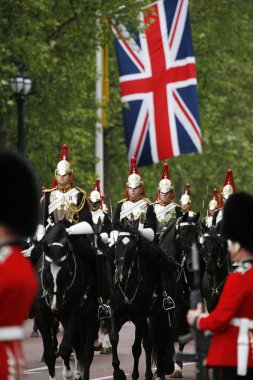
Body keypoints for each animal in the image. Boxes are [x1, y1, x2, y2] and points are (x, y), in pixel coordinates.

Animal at [33, 223, 100, 380]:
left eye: (66, 271)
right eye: (45, 271)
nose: (55, 305)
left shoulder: (73, 314)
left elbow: (64, 349)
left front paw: (70, 374)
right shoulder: (42, 316)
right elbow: (49, 355)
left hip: (91, 316)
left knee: (87, 351)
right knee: (78, 347)